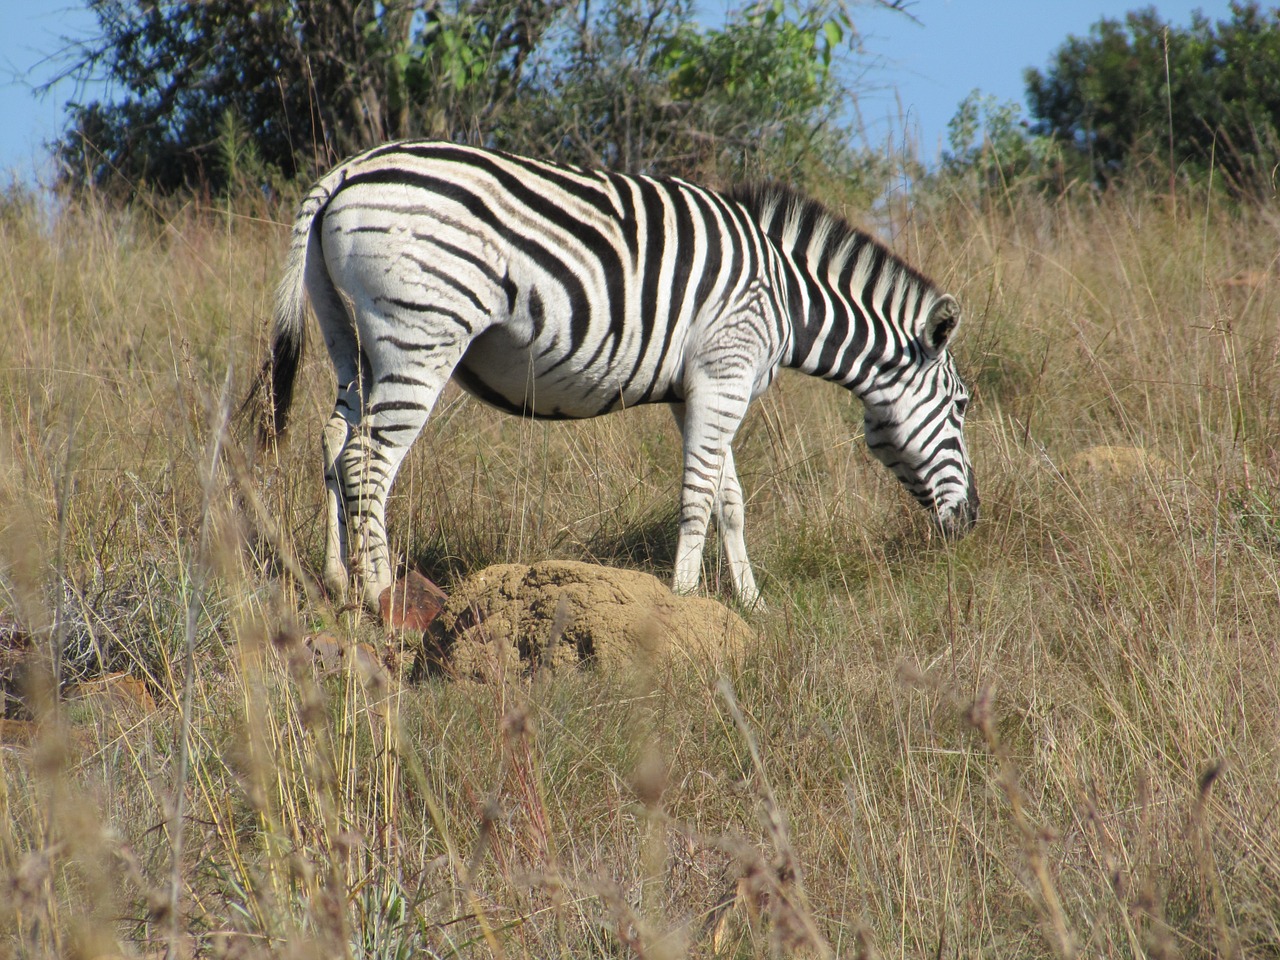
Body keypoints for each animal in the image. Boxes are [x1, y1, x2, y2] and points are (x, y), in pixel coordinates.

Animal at [259, 140, 977, 611]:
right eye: (963, 406)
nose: (972, 519)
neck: (786, 295)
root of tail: (346, 172)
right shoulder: (726, 370)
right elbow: (698, 496)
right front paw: (685, 600)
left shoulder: (700, 388)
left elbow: (730, 500)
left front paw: (752, 605)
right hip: (421, 338)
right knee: (369, 463)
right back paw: (382, 595)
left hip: (353, 340)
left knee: (335, 441)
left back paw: (338, 581)